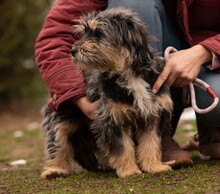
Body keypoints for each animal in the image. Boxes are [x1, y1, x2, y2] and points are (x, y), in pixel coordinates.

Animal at [40, 7, 173, 180]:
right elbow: (122, 147)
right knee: (58, 144)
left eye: (98, 33)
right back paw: (55, 169)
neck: (127, 73)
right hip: (60, 120)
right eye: (84, 32)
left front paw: (154, 166)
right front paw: (129, 171)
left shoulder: (153, 114)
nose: (73, 51)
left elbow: (151, 143)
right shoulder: (112, 117)